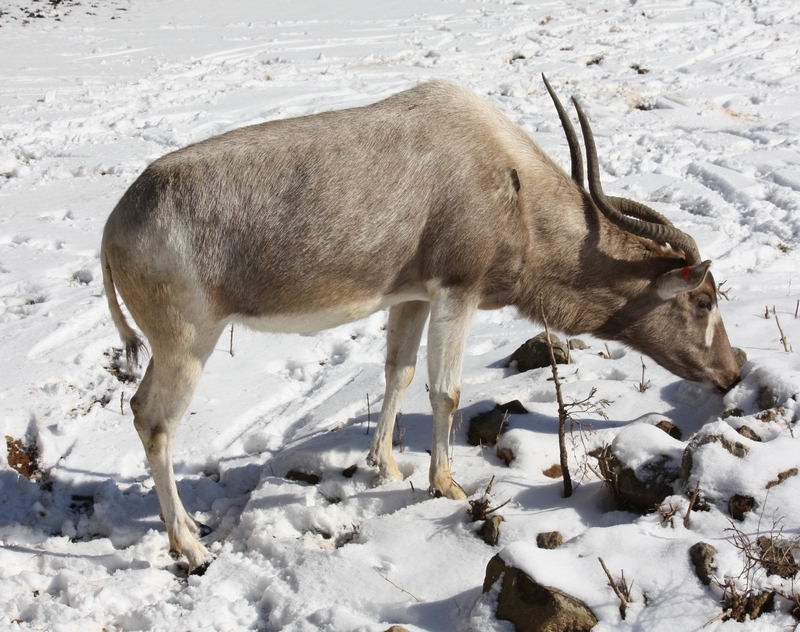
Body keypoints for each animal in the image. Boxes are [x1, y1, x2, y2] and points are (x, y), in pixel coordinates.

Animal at [103, 76, 740, 572]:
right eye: (704, 299)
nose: (733, 374)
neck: (513, 185)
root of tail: (115, 223)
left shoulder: (411, 297)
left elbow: (400, 372)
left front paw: (383, 466)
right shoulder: (458, 290)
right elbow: (446, 390)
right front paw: (446, 485)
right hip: (188, 344)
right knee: (153, 420)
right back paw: (189, 547)